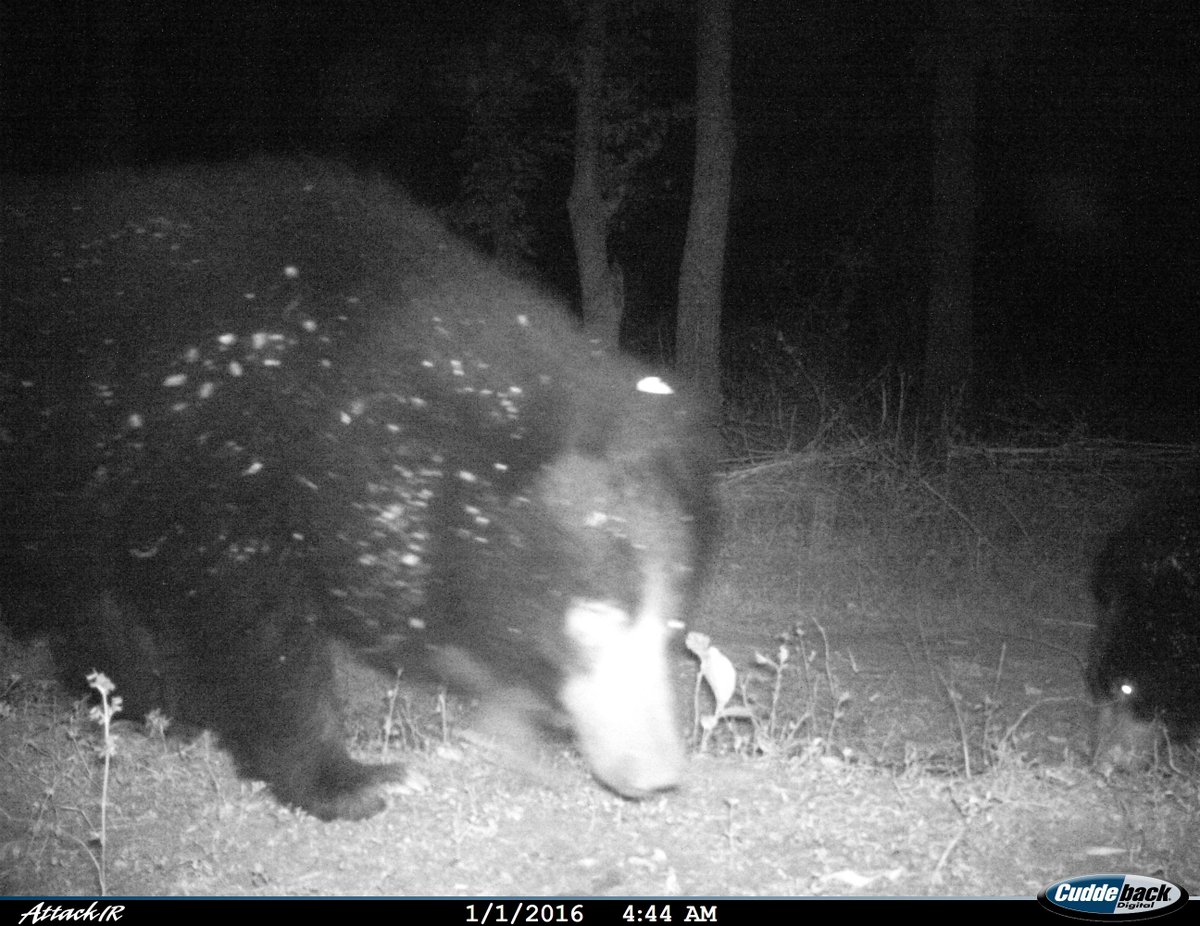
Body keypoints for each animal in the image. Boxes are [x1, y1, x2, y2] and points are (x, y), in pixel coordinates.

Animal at [0, 159, 714, 820]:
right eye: (590, 619)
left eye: (673, 623)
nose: (658, 775)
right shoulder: (208, 470)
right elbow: (256, 635)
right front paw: (358, 781)